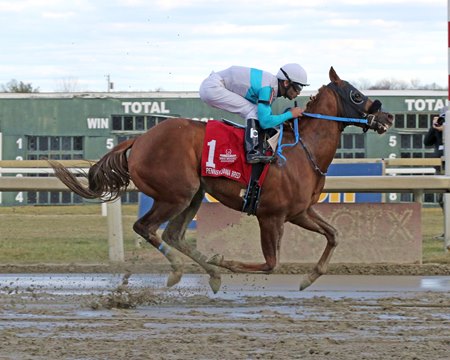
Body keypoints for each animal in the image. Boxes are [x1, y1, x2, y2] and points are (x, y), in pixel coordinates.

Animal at [50, 67, 394, 292]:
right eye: (356, 95)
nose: (388, 116)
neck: (302, 150)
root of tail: (138, 139)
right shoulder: (271, 216)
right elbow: (270, 263)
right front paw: (224, 261)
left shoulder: (299, 212)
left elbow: (334, 234)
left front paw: (309, 277)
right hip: (176, 193)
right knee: (145, 227)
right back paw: (181, 270)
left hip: (194, 194)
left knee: (173, 234)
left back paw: (210, 275)